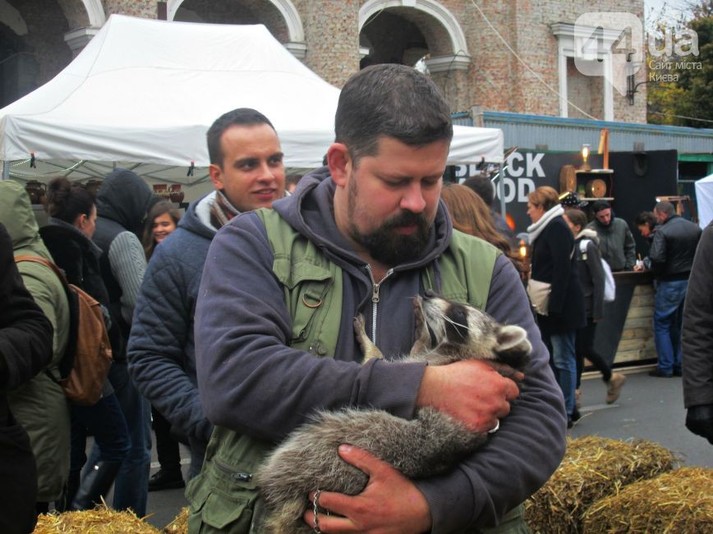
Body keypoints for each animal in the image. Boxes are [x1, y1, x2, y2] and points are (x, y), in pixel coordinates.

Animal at [255, 292, 532, 533]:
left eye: (459, 313)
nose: (428, 293)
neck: (461, 352)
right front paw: (422, 332)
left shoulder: (437, 364)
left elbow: (378, 361)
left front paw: (370, 343)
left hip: (326, 453)